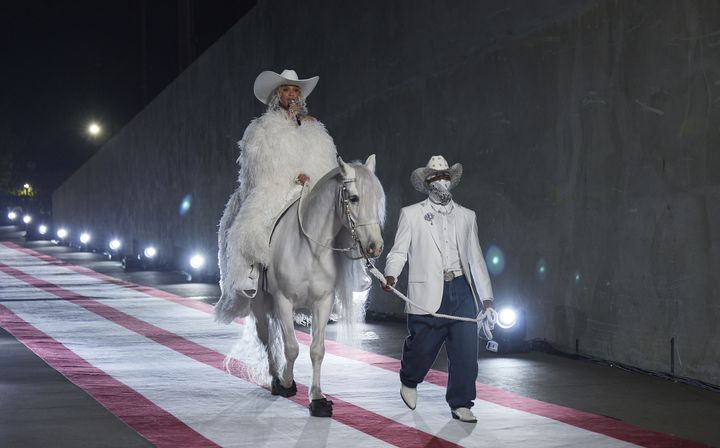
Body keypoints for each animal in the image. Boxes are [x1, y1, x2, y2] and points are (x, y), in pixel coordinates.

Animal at [217, 156, 386, 418]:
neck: (309, 249)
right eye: (354, 198)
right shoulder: (283, 301)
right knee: (266, 337)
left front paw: (317, 399)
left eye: (377, 198)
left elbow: (317, 349)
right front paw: (287, 383)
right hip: (260, 303)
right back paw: (276, 379)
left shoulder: (323, 303)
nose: (375, 247)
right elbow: (291, 348)